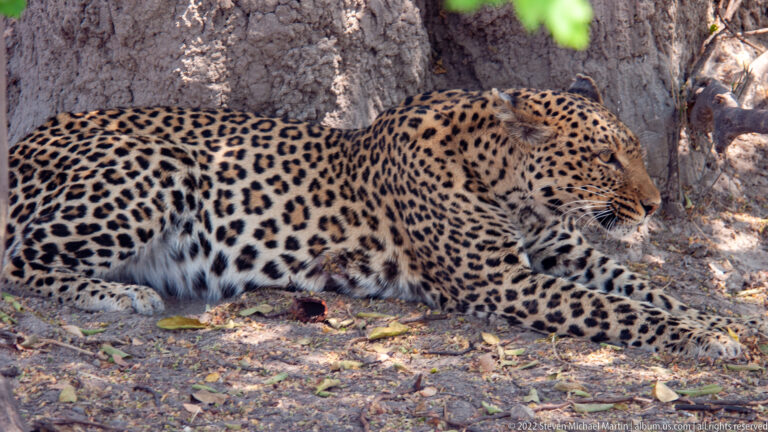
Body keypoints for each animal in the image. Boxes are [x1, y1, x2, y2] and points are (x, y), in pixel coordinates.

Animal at [4, 75, 763, 358]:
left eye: (633, 151)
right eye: (607, 158)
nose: (655, 204)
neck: (514, 190)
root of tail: (20, 144)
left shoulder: (562, 252)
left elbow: (646, 287)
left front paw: (731, 323)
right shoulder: (505, 282)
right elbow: (623, 309)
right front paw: (707, 340)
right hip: (154, 169)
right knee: (21, 259)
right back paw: (121, 295)